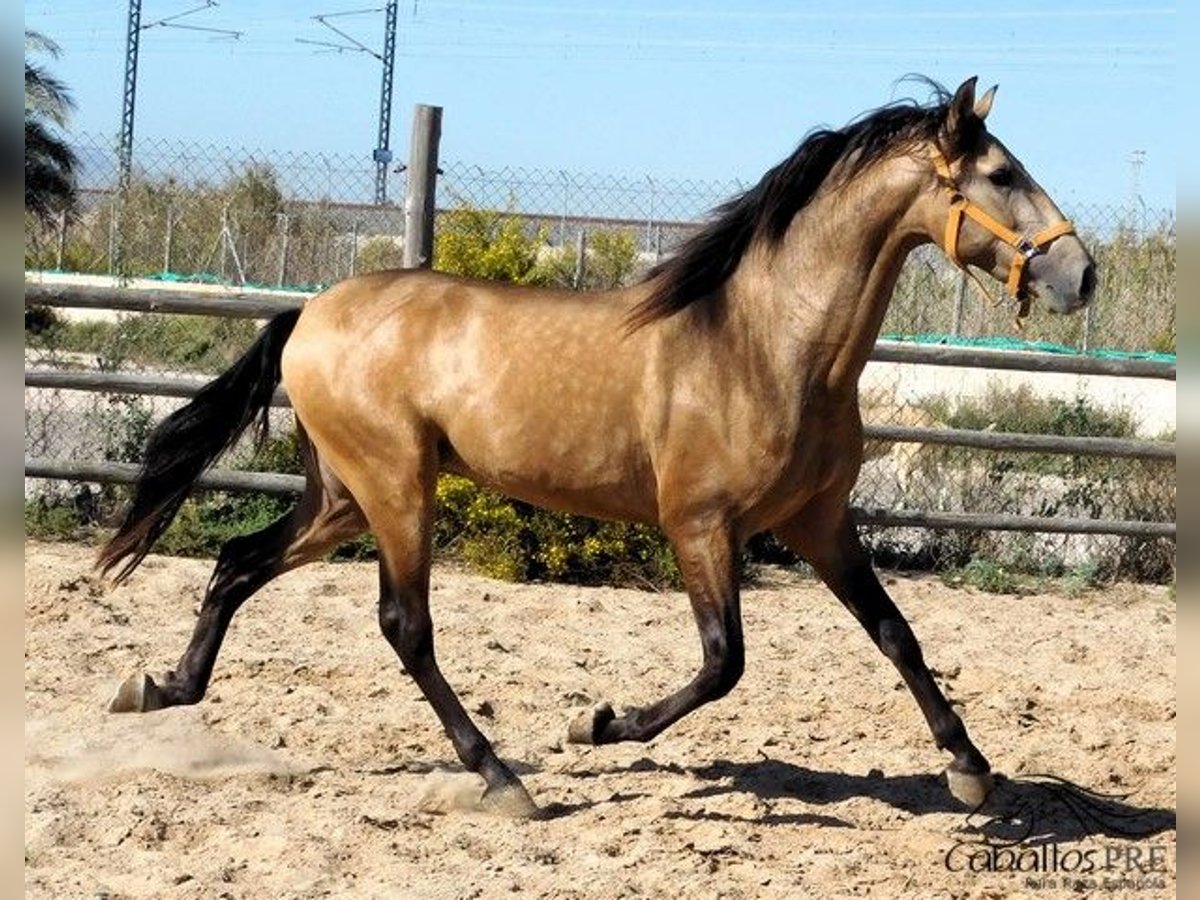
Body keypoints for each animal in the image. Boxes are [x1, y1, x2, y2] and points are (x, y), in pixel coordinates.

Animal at [100, 81, 1099, 820]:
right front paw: (596, 722)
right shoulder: (700, 524)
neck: (766, 347)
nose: (1081, 274)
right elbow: (723, 663)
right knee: (404, 625)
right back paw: (504, 779)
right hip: (395, 487)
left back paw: (156, 687)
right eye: (1002, 172)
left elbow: (897, 632)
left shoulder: (819, 522)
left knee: (237, 561)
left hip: (343, 494)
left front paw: (970, 769)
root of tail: (309, 311)